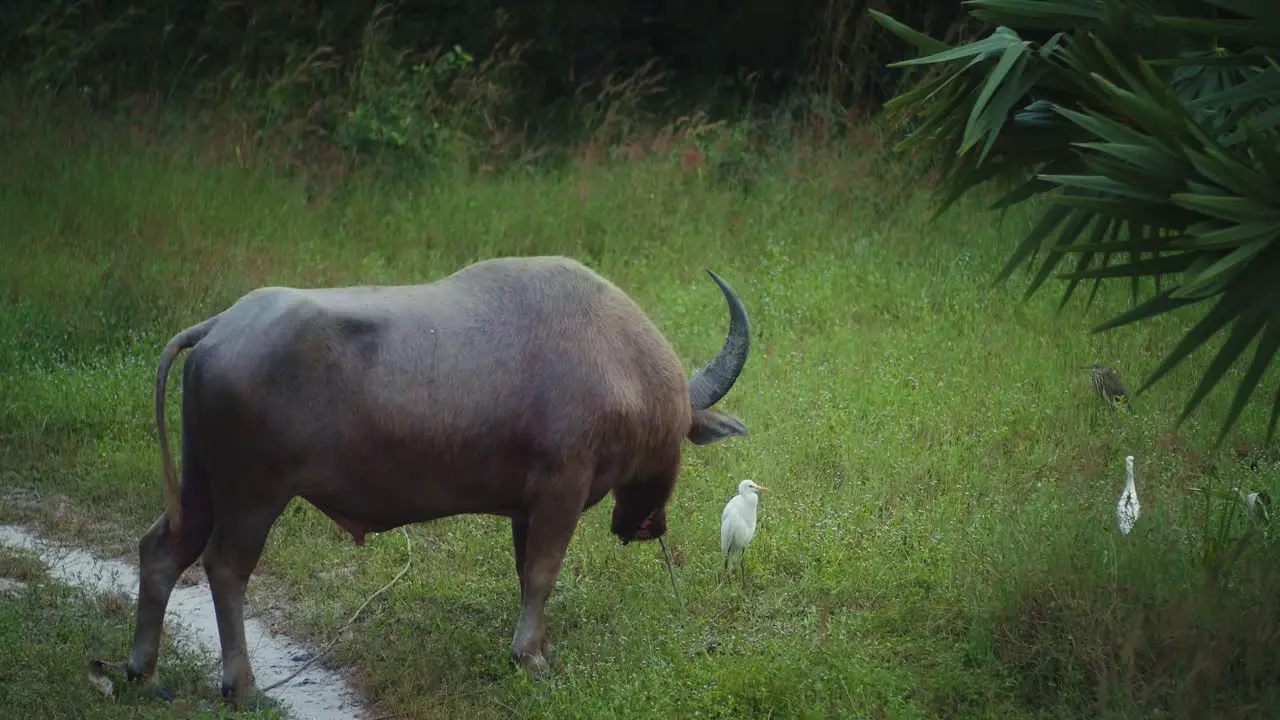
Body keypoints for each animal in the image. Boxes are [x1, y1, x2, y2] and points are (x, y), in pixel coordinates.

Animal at [123, 254, 747, 702]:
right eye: (679, 444)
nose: (648, 525)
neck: (617, 363)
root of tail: (220, 326)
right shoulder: (559, 490)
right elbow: (543, 572)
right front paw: (530, 657)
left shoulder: (525, 508)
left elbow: (525, 573)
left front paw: (536, 644)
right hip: (253, 494)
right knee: (225, 568)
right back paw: (243, 687)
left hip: (200, 481)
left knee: (161, 549)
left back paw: (142, 671)